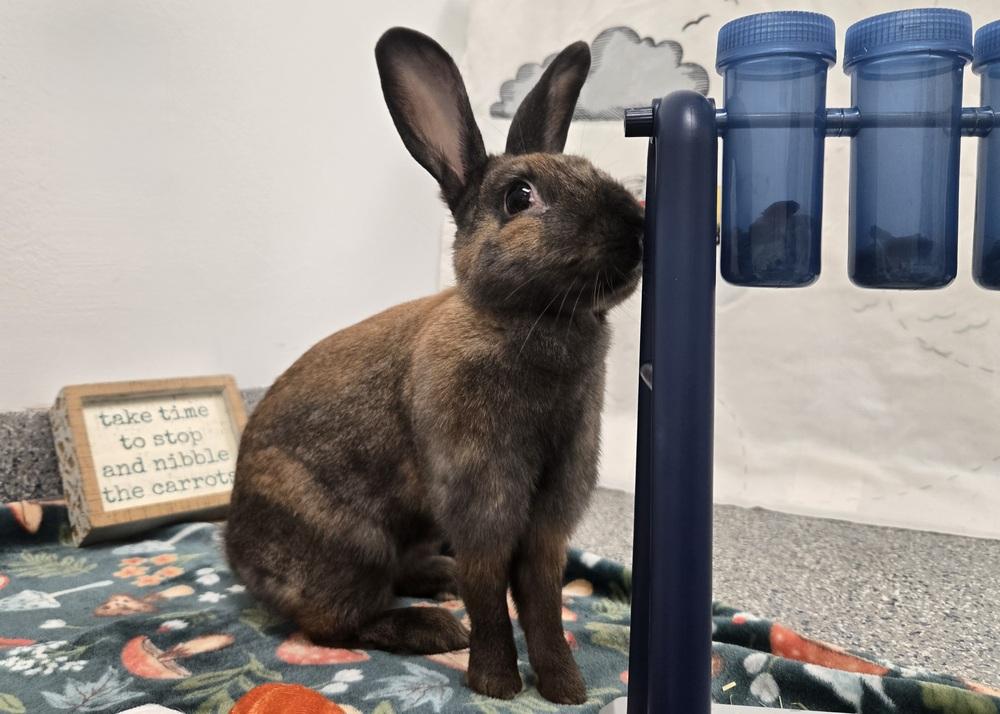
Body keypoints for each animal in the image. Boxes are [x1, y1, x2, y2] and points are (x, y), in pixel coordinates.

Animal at [225, 26, 643, 705]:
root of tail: (235, 555)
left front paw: (565, 688)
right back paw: (433, 627)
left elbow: (542, 598)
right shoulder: (483, 498)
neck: (531, 319)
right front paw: (497, 683)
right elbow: (492, 594)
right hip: (350, 548)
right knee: (333, 622)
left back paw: (436, 581)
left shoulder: (550, 514)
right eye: (519, 196)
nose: (635, 228)